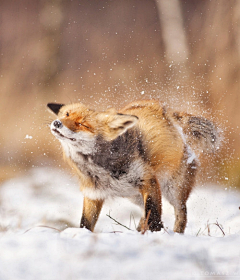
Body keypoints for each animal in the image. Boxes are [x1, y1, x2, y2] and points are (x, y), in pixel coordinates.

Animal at [47, 99, 219, 233]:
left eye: (82, 124)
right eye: (66, 115)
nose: (57, 123)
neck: (102, 168)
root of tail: (170, 117)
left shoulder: (148, 180)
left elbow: (154, 214)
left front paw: (156, 234)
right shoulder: (93, 194)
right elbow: (85, 224)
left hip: (173, 191)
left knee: (181, 215)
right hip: (136, 196)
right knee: (144, 216)